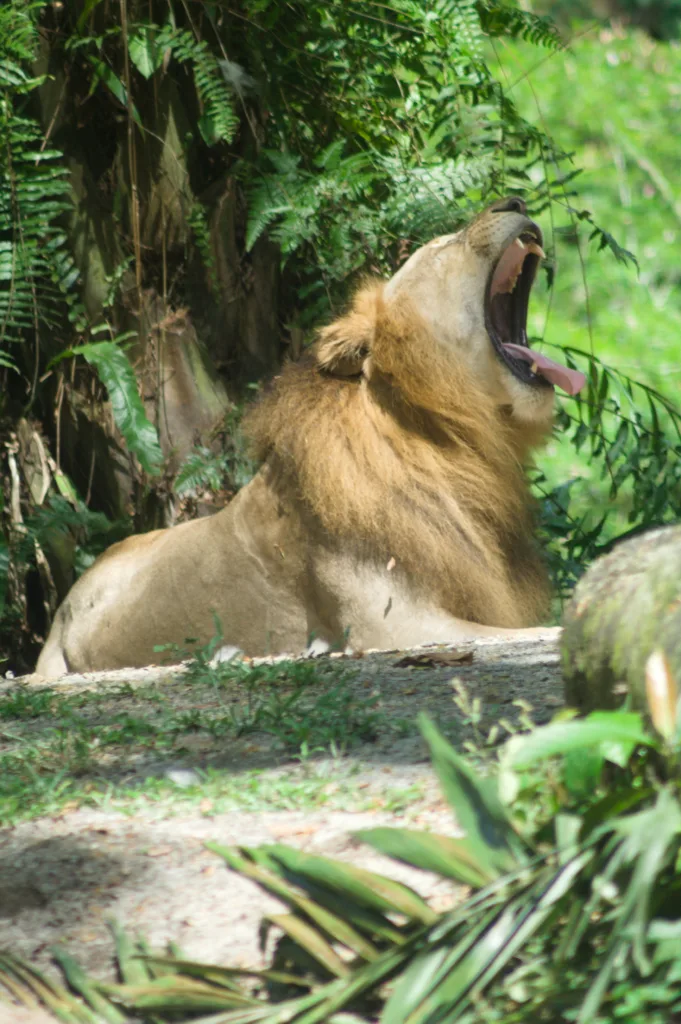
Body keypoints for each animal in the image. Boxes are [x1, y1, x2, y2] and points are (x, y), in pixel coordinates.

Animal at [36, 197, 585, 678]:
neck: (446, 441)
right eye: (442, 247)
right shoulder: (394, 626)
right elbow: (542, 630)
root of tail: (60, 611)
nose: (515, 201)